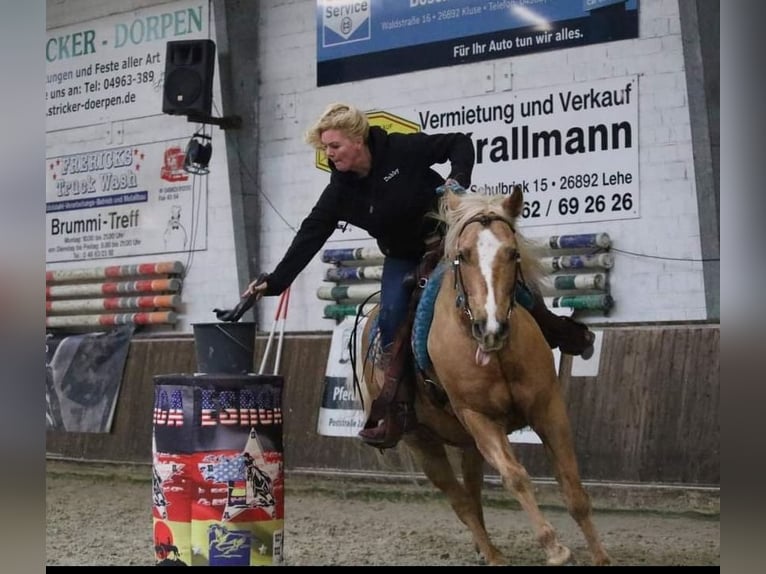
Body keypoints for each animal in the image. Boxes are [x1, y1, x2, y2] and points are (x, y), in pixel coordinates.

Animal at [357, 186, 611, 566]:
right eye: (462, 255)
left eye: (513, 252)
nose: (490, 328)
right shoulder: (479, 418)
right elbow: (515, 476)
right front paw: (553, 547)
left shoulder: (548, 408)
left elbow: (573, 487)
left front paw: (600, 556)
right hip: (422, 441)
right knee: (461, 501)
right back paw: (492, 555)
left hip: (468, 444)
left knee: (472, 495)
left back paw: (485, 547)